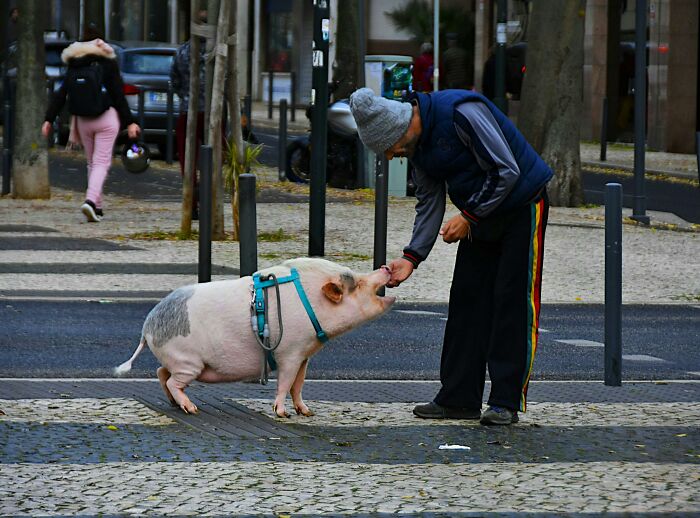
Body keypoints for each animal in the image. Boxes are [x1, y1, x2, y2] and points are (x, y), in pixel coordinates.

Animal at [115, 258, 395, 417]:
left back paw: (175, 405)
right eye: (356, 284)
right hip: (188, 362)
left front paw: (307, 412)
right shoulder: (289, 352)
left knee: (161, 373)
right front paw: (282, 414)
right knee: (172, 380)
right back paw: (191, 409)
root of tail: (147, 328)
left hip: (181, 361)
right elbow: (285, 382)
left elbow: (298, 385)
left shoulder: (304, 356)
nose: (386, 267)